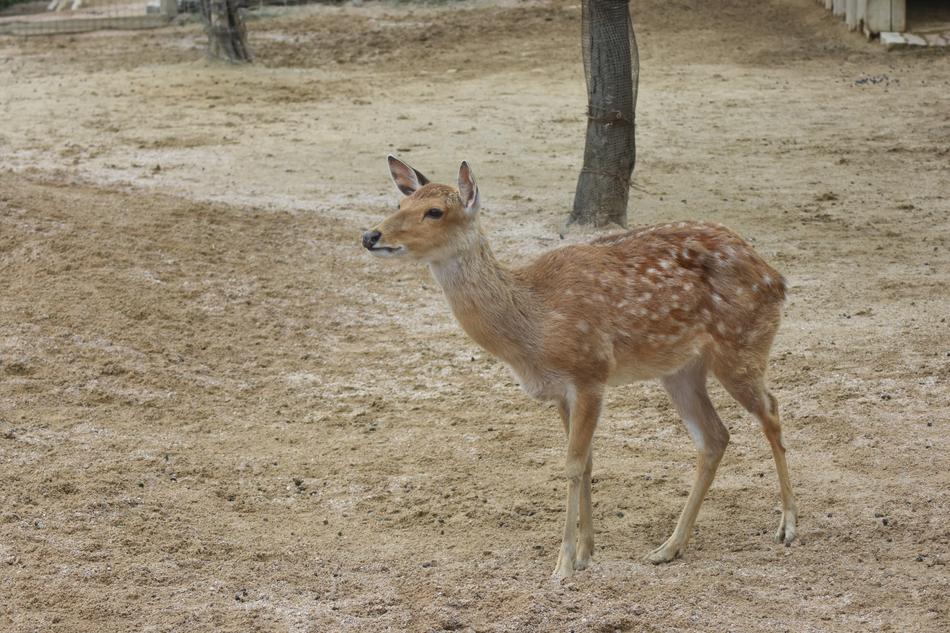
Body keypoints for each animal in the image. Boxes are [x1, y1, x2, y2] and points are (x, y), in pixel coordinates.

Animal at [361, 156, 798, 578]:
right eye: (400, 203)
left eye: (434, 211)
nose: (371, 236)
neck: (534, 327)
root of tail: (776, 279)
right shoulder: (559, 390)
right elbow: (586, 461)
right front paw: (587, 552)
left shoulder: (590, 372)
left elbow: (572, 464)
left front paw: (564, 564)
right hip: (680, 369)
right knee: (715, 437)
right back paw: (669, 547)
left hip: (741, 346)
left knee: (771, 411)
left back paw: (788, 525)